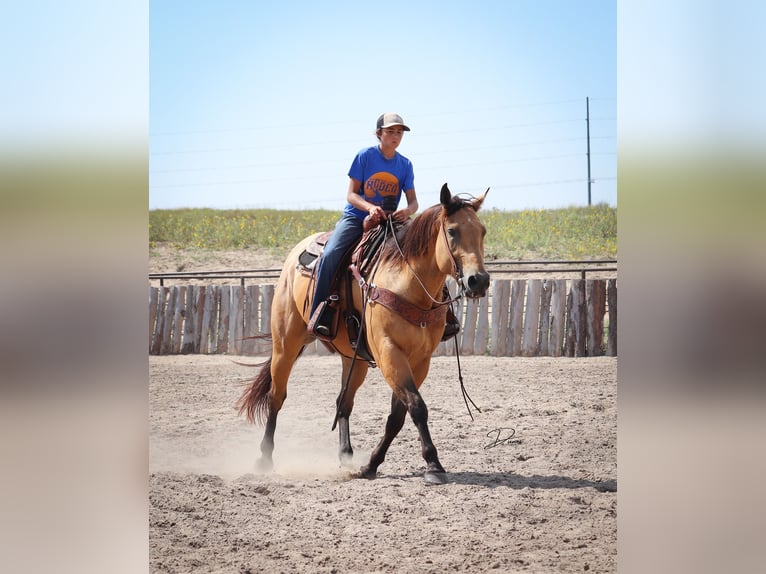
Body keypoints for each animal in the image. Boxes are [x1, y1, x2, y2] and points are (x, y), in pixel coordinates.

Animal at [236, 184, 492, 486]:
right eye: (452, 231)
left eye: (482, 231)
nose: (479, 280)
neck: (407, 284)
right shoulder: (388, 352)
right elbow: (417, 406)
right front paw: (433, 464)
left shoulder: (420, 360)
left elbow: (398, 415)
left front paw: (371, 465)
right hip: (285, 345)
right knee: (277, 396)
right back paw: (264, 458)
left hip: (353, 358)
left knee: (343, 401)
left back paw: (346, 454)